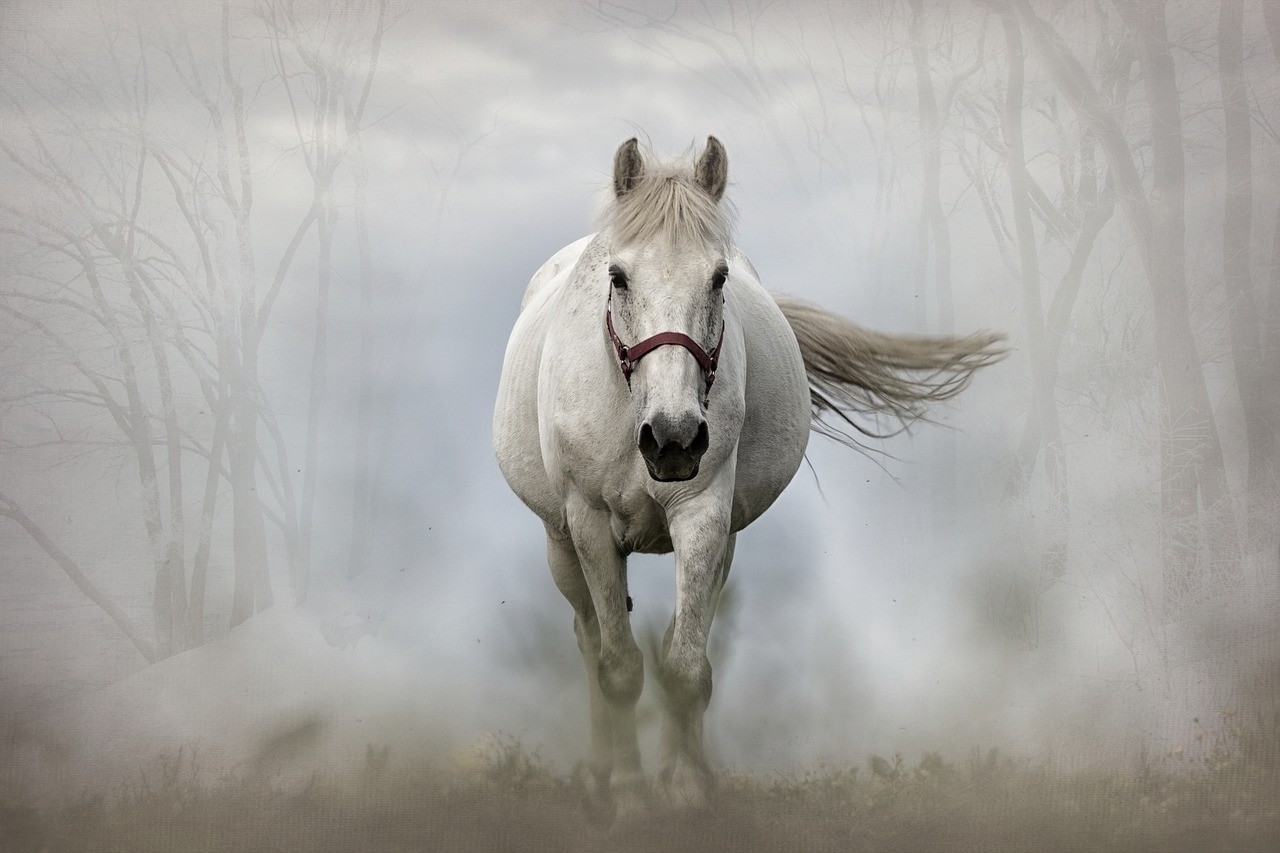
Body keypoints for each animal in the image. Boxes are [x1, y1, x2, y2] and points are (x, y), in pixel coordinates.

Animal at [492, 136, 1005, 817]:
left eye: (718, 277)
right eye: (618, 276)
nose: (674, 438)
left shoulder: (704, 516)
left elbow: (685, 667)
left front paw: (686, 788)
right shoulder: (591, 525)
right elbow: (619, 667)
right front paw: (628, 796)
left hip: (722, 543)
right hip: (561, 544)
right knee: (588, 638)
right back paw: (601, 773)